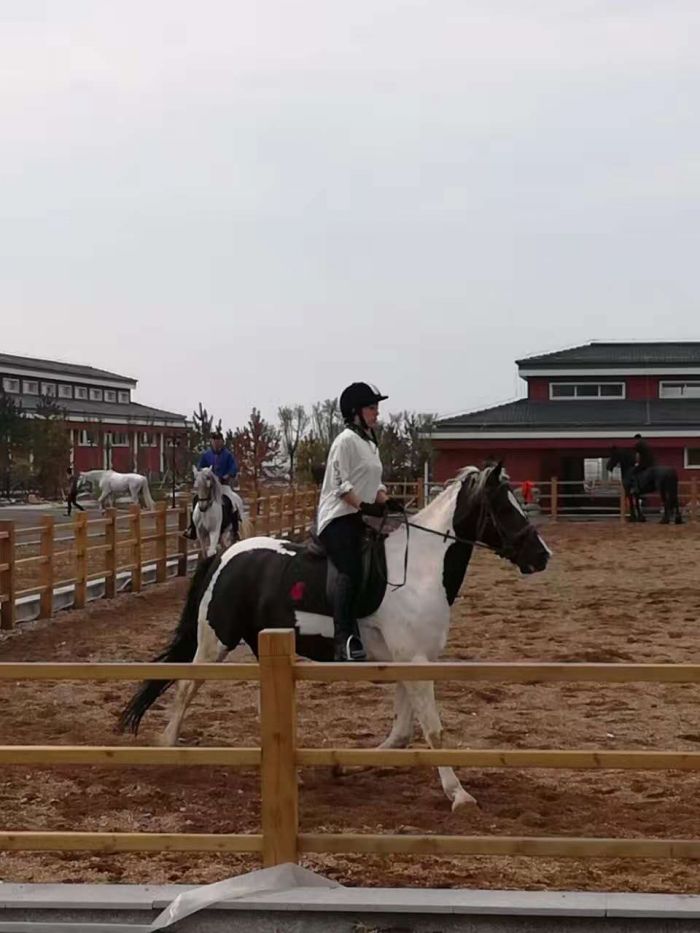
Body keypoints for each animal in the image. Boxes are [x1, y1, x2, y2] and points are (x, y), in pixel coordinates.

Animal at [119, 463, 551, 809]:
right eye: (504, 507)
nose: (542, 556)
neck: (420, 569)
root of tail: (226, 555)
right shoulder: (414, 661)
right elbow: (433, 731)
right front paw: (459, 795)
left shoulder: (409, 662)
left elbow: (402, 733)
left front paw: (344, 765)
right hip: (215, 640)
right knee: (186, 687)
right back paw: (168, 747)